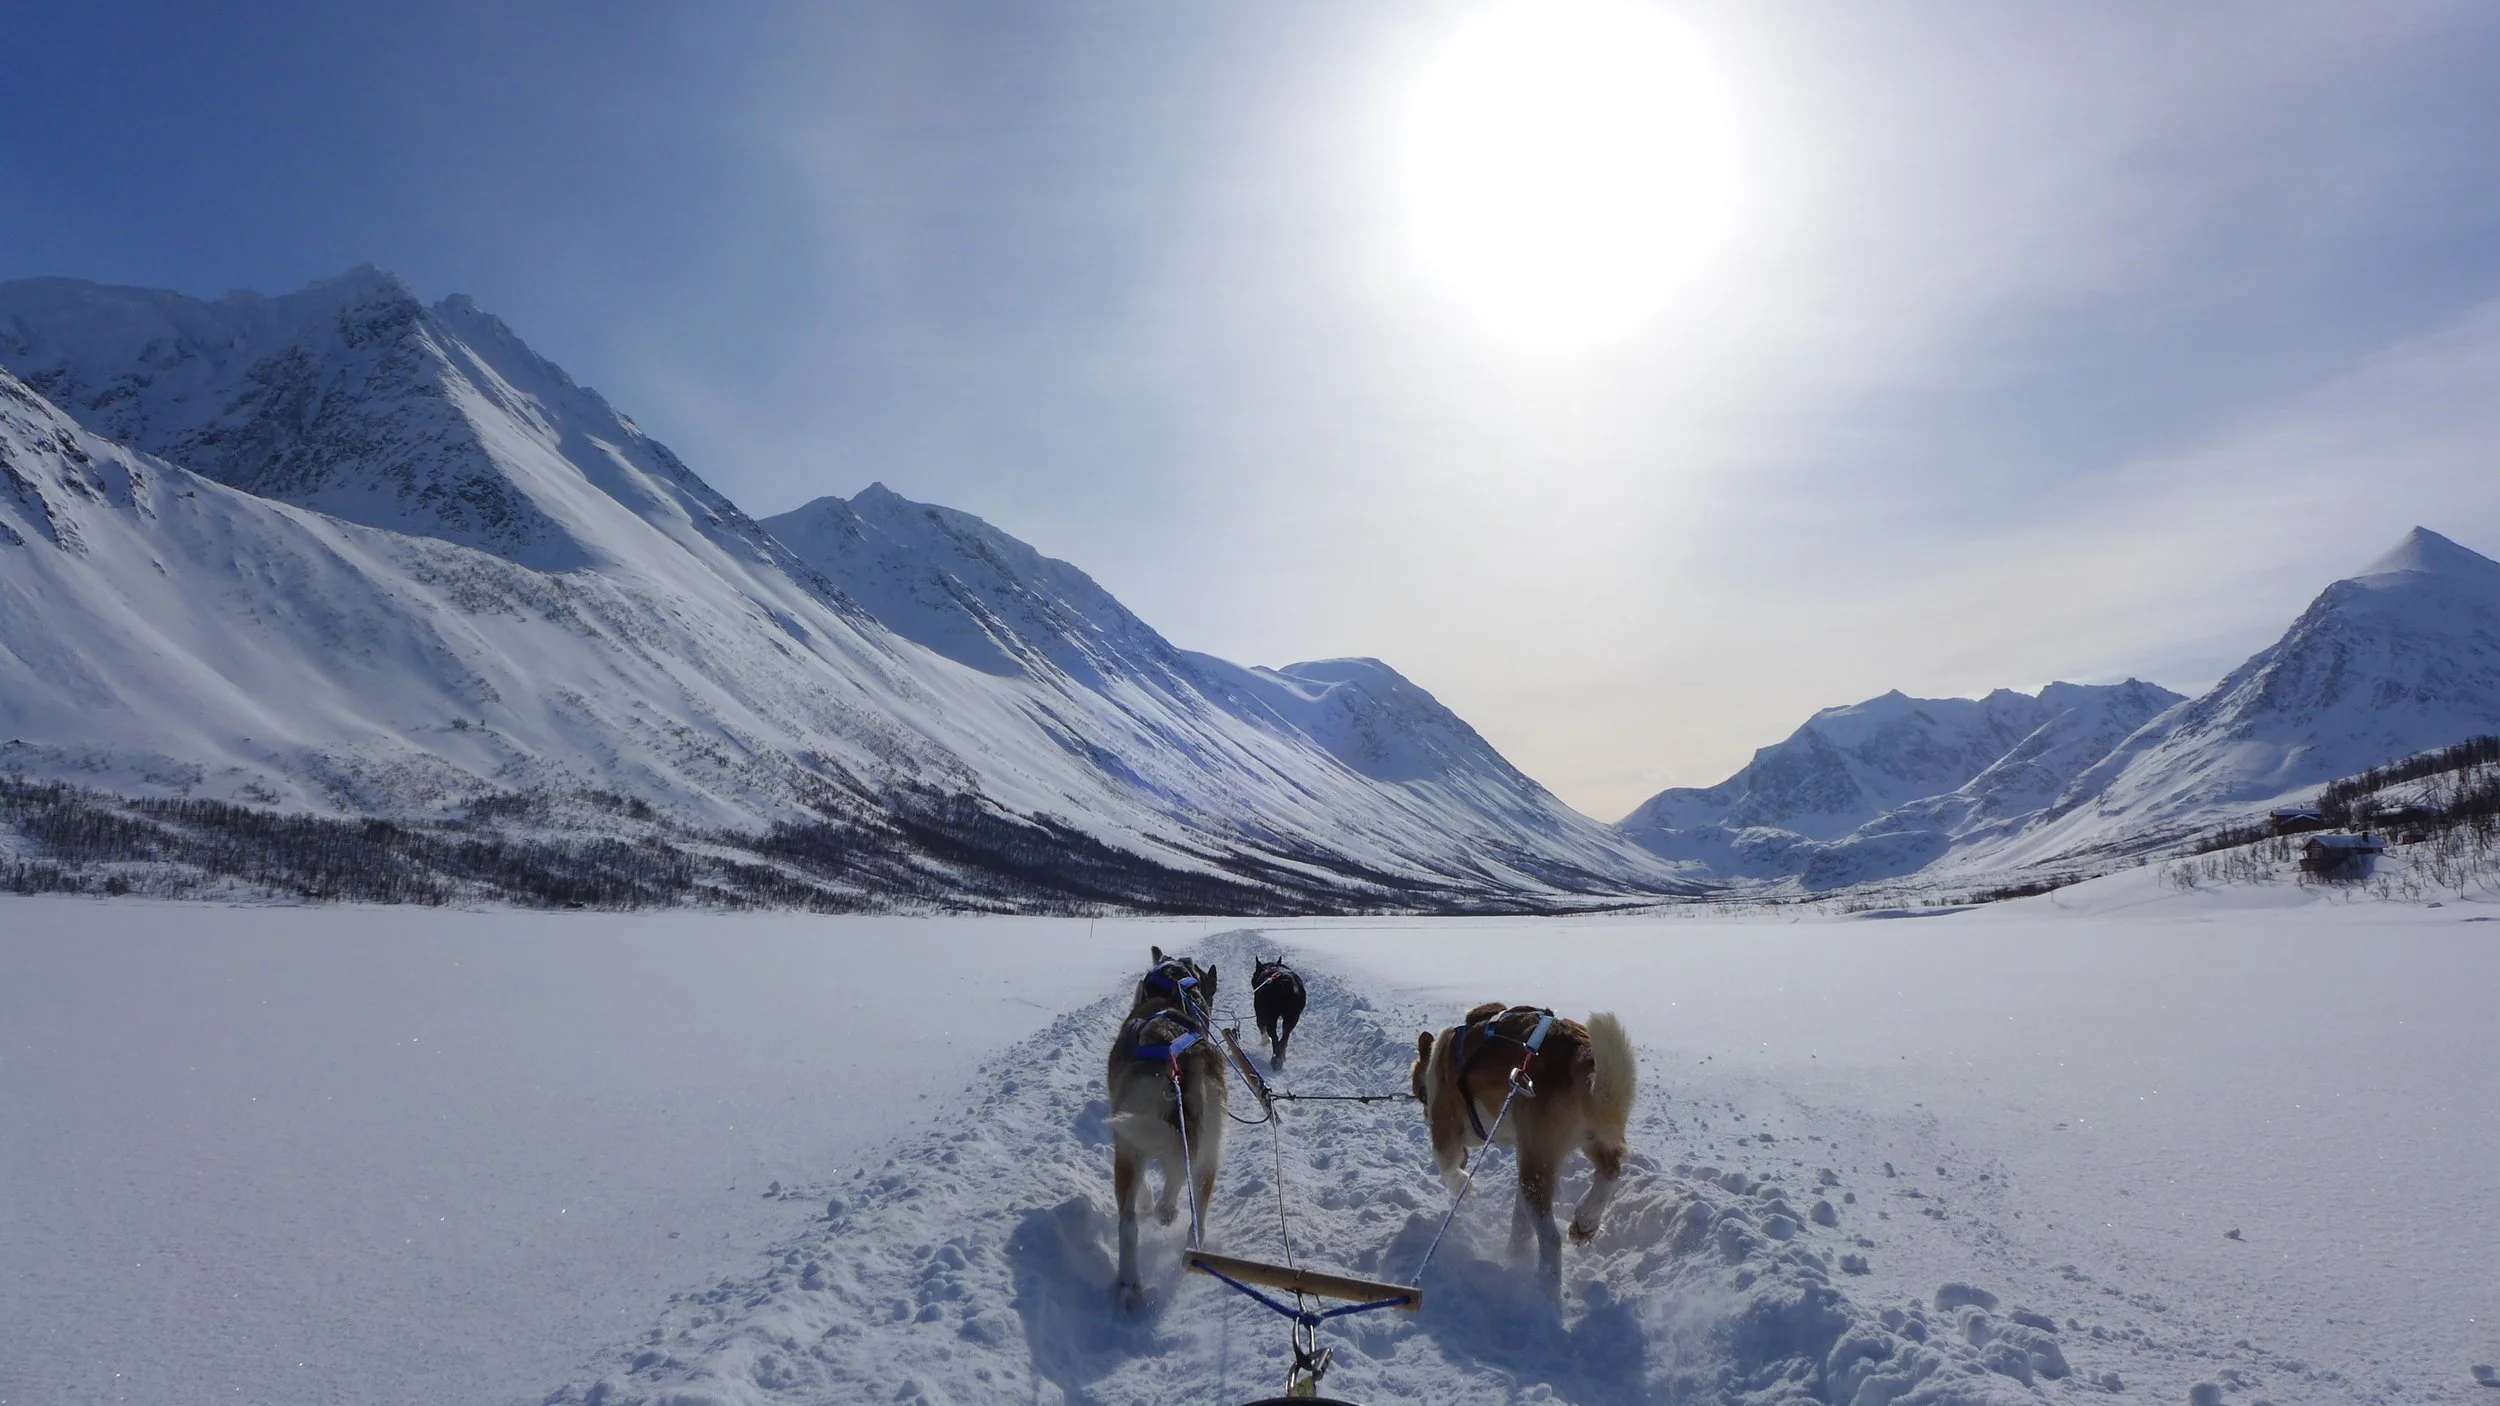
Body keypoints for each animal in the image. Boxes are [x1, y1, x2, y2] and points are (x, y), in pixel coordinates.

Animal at [1410, 1002, 1636, 1297]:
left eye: (1421, 1094)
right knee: (1610, 1169)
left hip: (1535, 1166)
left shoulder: (1445, 1128)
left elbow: (1447, 1164)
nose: (1425, 1115)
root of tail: (1580, 1052)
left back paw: (1546, 1291)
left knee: (1551, 1239)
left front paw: (1464, 1185)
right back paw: (1583, 1222)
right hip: (1577, 1143)